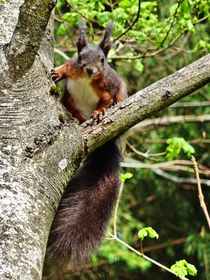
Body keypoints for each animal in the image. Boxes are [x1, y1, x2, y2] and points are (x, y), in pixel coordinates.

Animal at [47, 21, 126, 264]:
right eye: (80, 55)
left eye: (102, 59)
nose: (90, 70)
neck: (86, 79)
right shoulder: (74, 67)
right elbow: (67, 68)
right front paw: (58, 71)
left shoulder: (109, 87)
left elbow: (108, 100)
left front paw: (101, 111)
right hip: (71, 102)